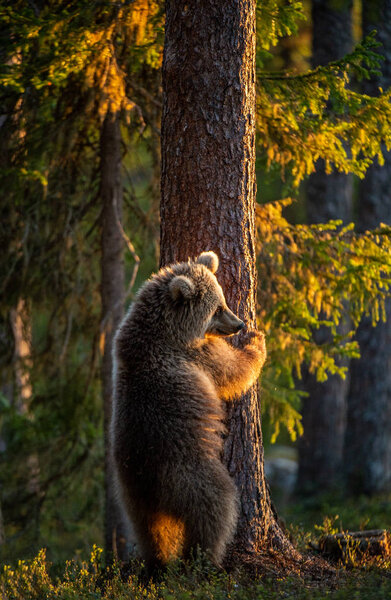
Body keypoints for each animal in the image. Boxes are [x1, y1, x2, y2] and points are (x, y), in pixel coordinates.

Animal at [112, 251, 268, 568]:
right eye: (218, 308)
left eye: (224, 301)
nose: (239, 324)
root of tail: (152, 483)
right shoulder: (198, 355)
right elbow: (232, 371)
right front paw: (256, 341)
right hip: (190, 473)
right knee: (216, 507)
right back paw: (205, 557)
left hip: (130, 492)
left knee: (149, 528)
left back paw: (158, 560)